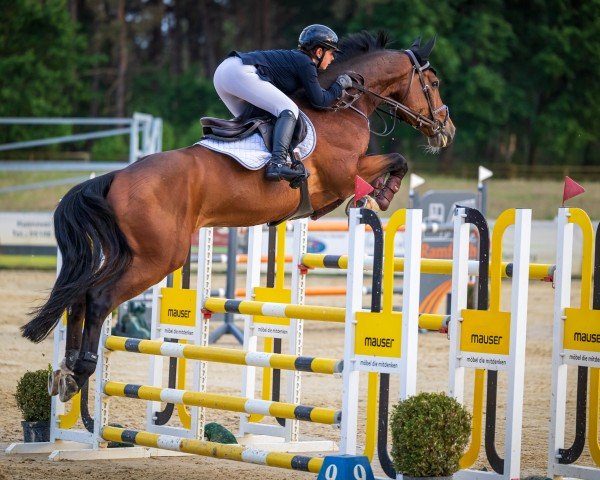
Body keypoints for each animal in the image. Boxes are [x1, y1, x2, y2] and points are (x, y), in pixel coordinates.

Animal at [23, 31, 454, 404]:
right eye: (432, 83)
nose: (446, 129)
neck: (340, 108)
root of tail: (117, 177)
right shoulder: (345, 175)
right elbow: (396, 160)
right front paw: (380, 197)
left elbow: (392, 163)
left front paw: (374, 197)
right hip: (159, 258)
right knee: (98, 298)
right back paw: (80, 371)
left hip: (128, 253)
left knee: (79, 295)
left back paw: (65, 372)